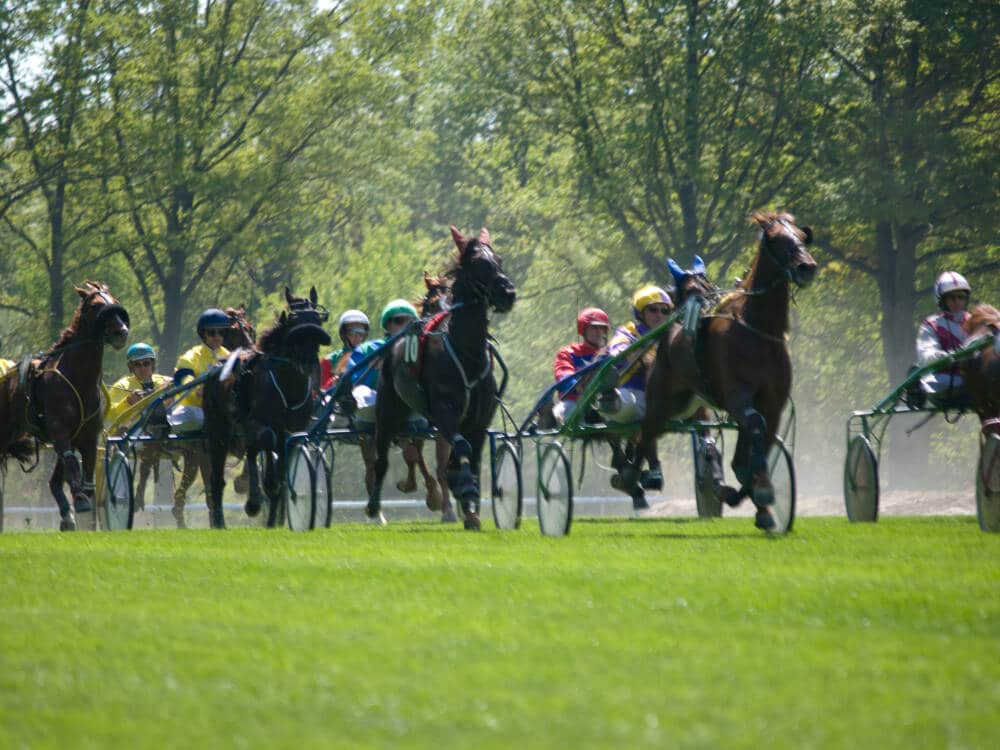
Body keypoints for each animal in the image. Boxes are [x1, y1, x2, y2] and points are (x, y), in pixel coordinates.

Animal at [0, 280, 129, 532]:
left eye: (116, 302)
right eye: (96, 305)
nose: (121, 332)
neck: (78, 378)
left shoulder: (87, 435)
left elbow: (84, 467)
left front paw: (79, 507)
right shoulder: (60, 430)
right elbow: (70, 462)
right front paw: (79, 501)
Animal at [201, 286, 330, 528]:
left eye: (317, 319)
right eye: (294, 319)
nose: (308, 360)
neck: (288, 383)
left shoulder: (293, 432)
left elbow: (281, 472)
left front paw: (273, 519)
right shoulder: (257, 422)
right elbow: (268, 443)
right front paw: (263, 492)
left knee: (252, 452)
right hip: (218, 432)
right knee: (217, 479)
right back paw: (226, 517)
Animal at [372, 228, 520, 528]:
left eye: (498, 259)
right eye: (477, 263)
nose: (508, 293)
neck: (467, 354)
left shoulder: (479, 420)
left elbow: (472, 457)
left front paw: (471, 507)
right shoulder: (445, 411)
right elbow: (460, 449)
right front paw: (465, 491)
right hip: (388, 411)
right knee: (381, 456)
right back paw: (374, 507)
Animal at [636, 210, 816, 528]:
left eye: (802, 236)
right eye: (775, 239)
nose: (807, 267)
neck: (757, 330)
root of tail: (671, 329)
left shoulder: (773, 402)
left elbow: (757, 446)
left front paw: (759, 502)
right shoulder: (736, 396)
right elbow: (755, 429)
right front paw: (759, 491)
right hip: (664, 397)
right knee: (645, 433)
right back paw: (635, 479)